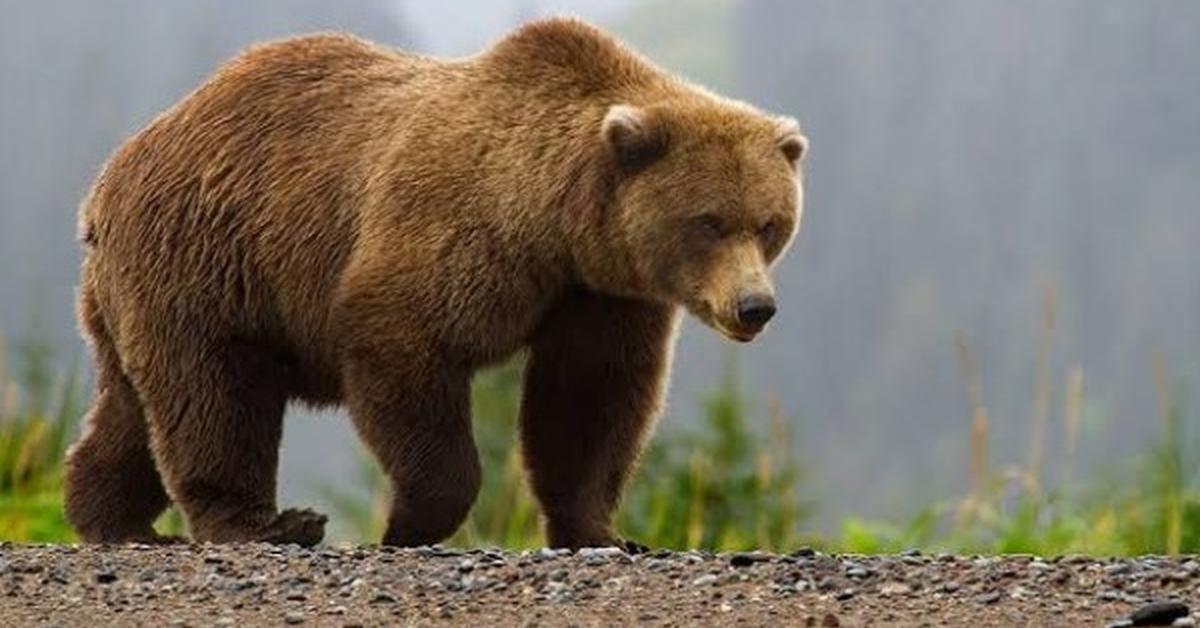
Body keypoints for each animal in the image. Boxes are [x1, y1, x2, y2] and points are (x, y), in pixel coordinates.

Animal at [68, 17, 806, 547]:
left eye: (770, 223)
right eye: (708, 221)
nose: (755, 306)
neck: (556, 224)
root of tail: (113, 173)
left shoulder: (599, 295)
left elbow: (589, 401)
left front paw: (602, 531)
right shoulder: (456, 233)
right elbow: (404, 345)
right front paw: (408, 523)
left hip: (143, 288)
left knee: (135, 405)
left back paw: (110, 517)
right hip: (209, 256)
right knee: (214, 393)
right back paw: (266, 524)